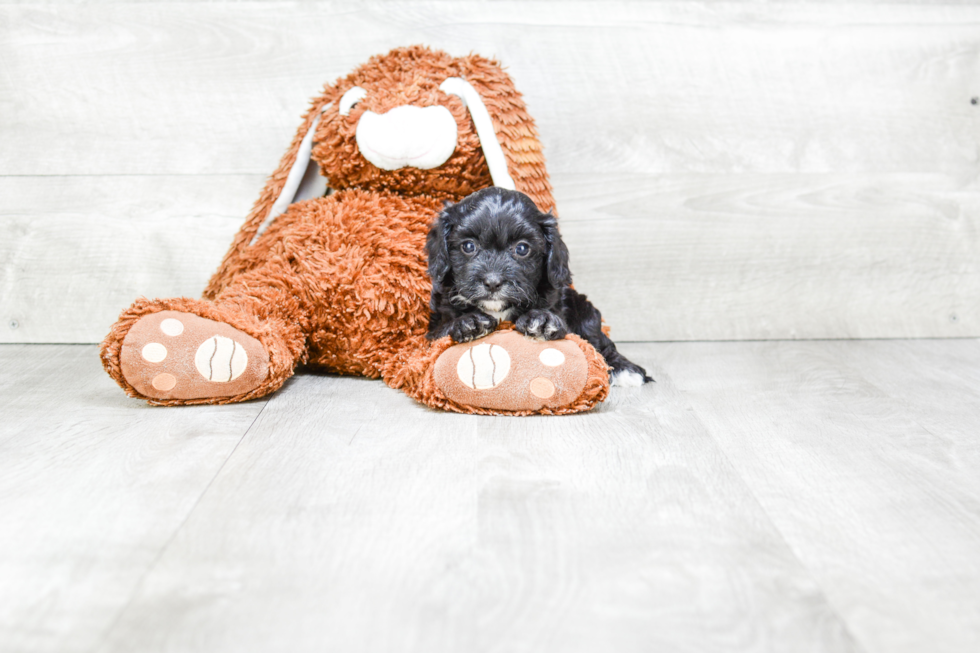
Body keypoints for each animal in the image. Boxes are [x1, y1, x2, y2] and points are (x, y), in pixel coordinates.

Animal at [426, 186, 652, 384]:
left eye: (522, 248)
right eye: (468, 246)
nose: (493, 282)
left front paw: (542, 321)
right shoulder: (432, 331)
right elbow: (442, 331)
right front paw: (468, 323)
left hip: (583, 309)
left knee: (598, 339)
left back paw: (626, 370)